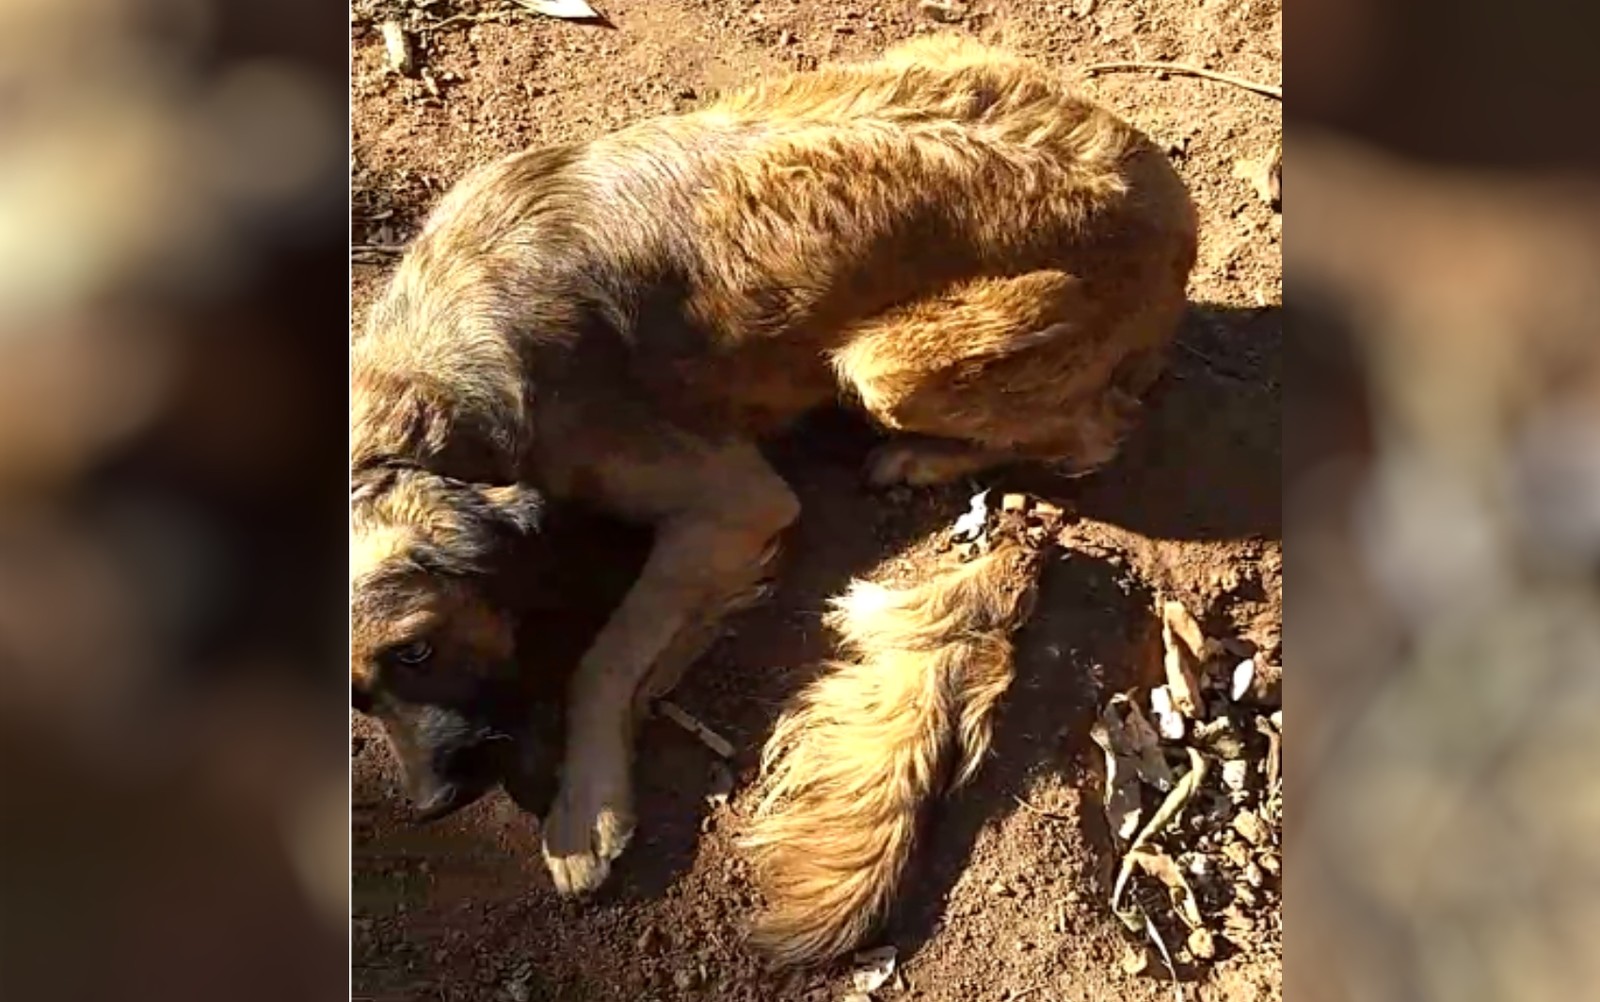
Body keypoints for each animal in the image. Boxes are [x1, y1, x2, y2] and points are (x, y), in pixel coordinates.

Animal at [353, 33, 1203, 896]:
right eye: (358, 697)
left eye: (415, 648)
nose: (435, 805)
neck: (434, 377)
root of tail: (1173, 205)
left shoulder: (735, 503)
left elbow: (605, 655)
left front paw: (585, 807)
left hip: (884, 366)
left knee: (1095, 433)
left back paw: (919, 457)